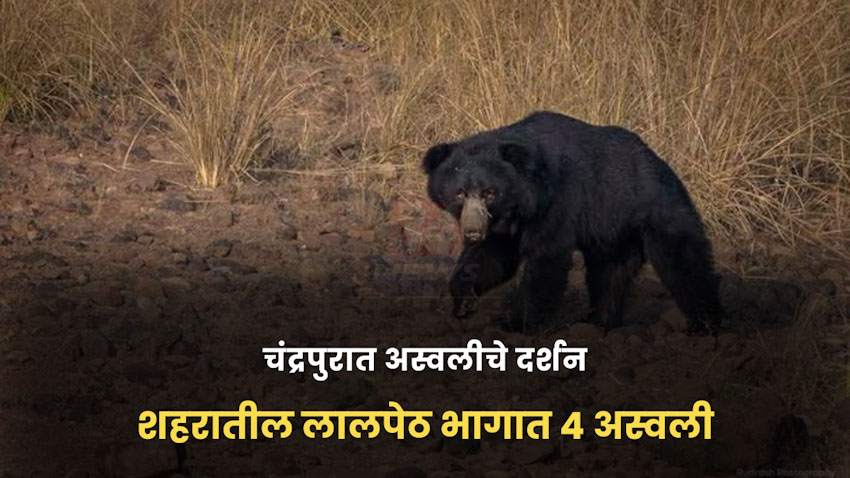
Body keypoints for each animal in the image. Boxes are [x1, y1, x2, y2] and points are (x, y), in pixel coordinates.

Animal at [422, 110, 723, 333]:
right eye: (460, 193)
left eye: (489, 192)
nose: (472, 231)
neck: (524, 201)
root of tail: (661, 162)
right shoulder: (503, 224)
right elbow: (493, 257)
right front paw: (463, 300)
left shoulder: (558, 200)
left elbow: (546, 258)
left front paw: (515, 323)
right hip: (613, 229)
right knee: (610, 272)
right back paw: (599, 321)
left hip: (653, 207)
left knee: (683, 261)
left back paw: (705, 321)